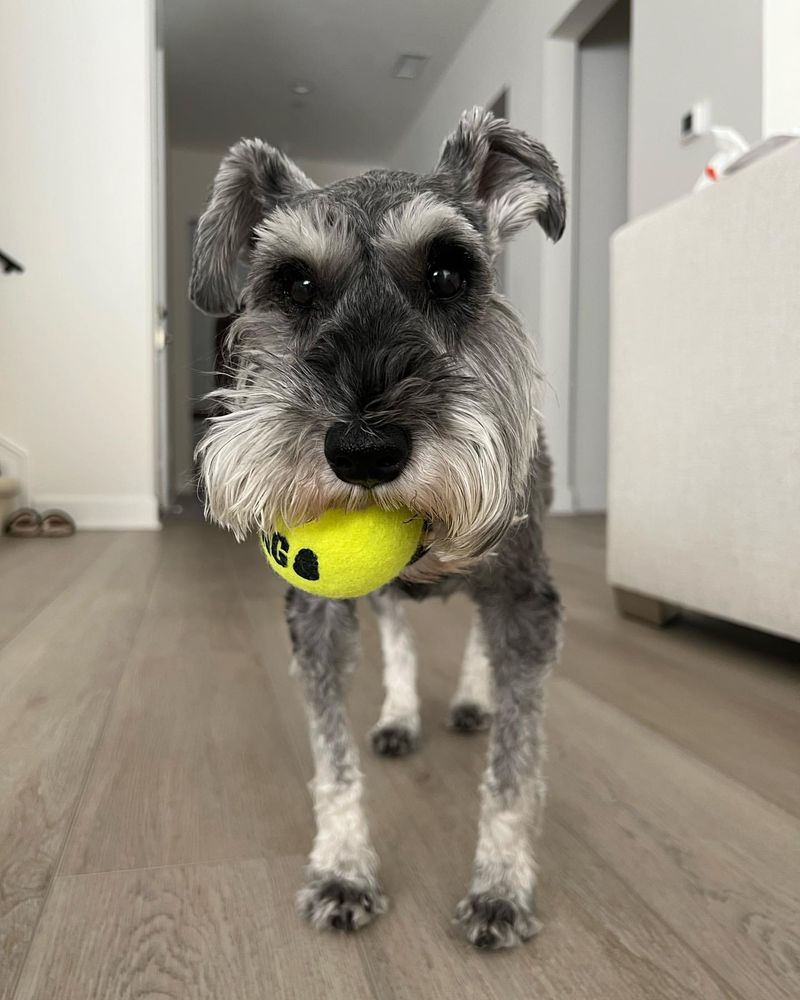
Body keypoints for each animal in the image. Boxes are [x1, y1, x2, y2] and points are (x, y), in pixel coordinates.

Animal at [191, 105, 564, 948]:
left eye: (449, 273)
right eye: (294, 283)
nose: (363, 451)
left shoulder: (524, 602)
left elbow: (515, 766)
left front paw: (500, 887)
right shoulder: (317, 618)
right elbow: (332, 763)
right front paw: (341, 871)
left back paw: (470, 700)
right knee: (398, 634)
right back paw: (399, 715)